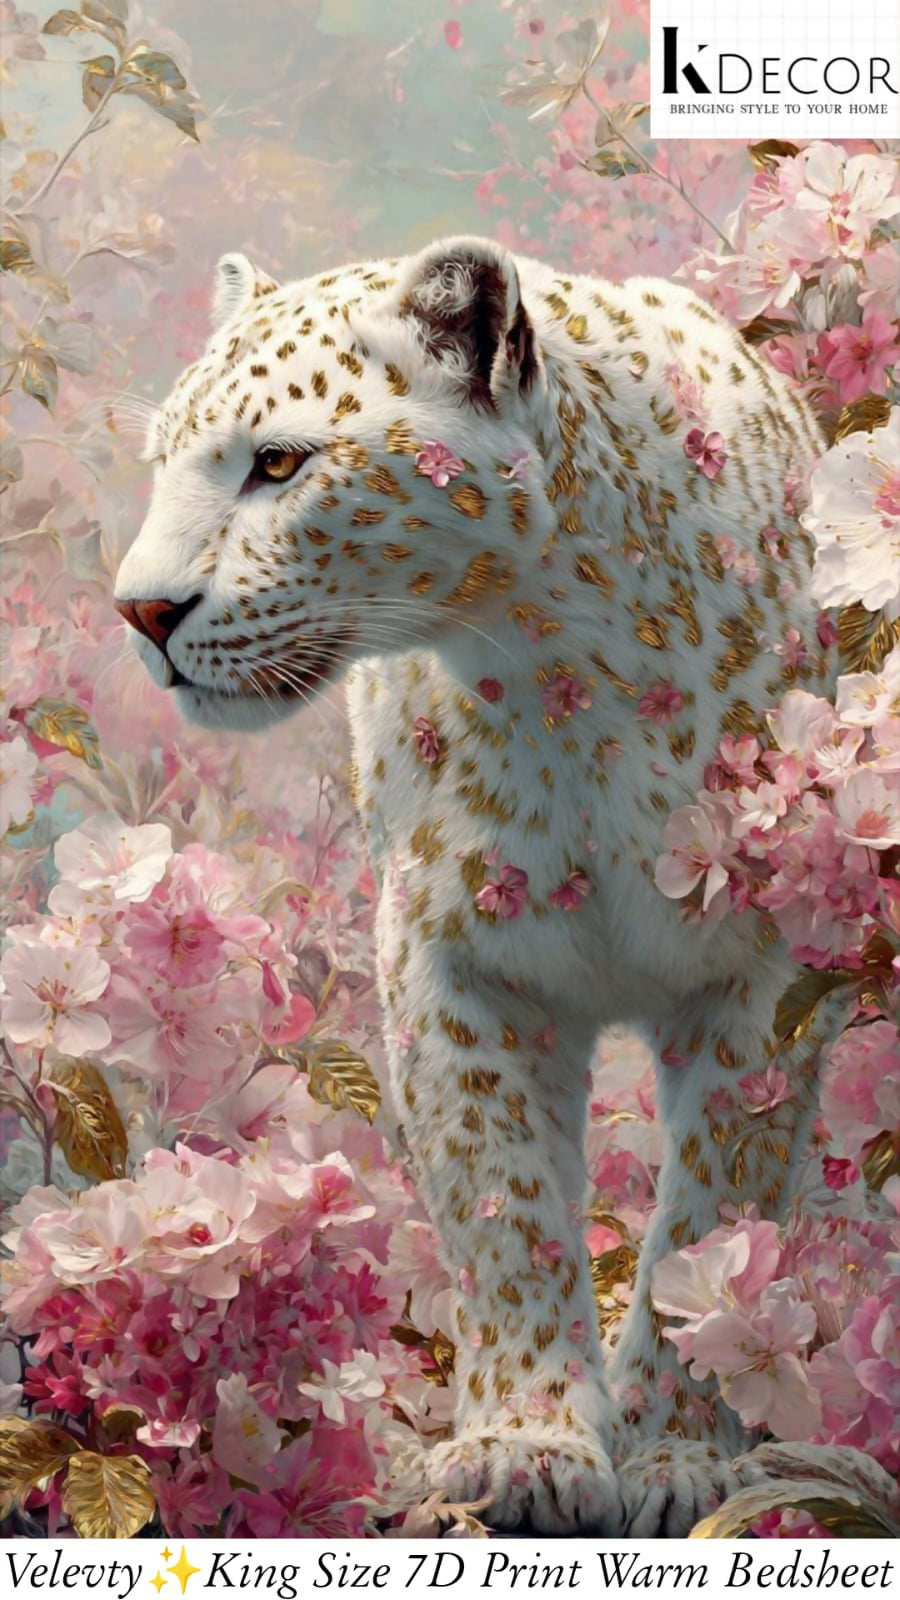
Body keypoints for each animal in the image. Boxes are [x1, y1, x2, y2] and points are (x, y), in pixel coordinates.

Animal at [115, 235, 832, 1536]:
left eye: (278, 461)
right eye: (163, 464)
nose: (140, 612)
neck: (558, 674)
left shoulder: (762, 969)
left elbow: (718, 1208)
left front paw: (677, 1455)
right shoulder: (453, 963)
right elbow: (504, 1202)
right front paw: (527, 1447)